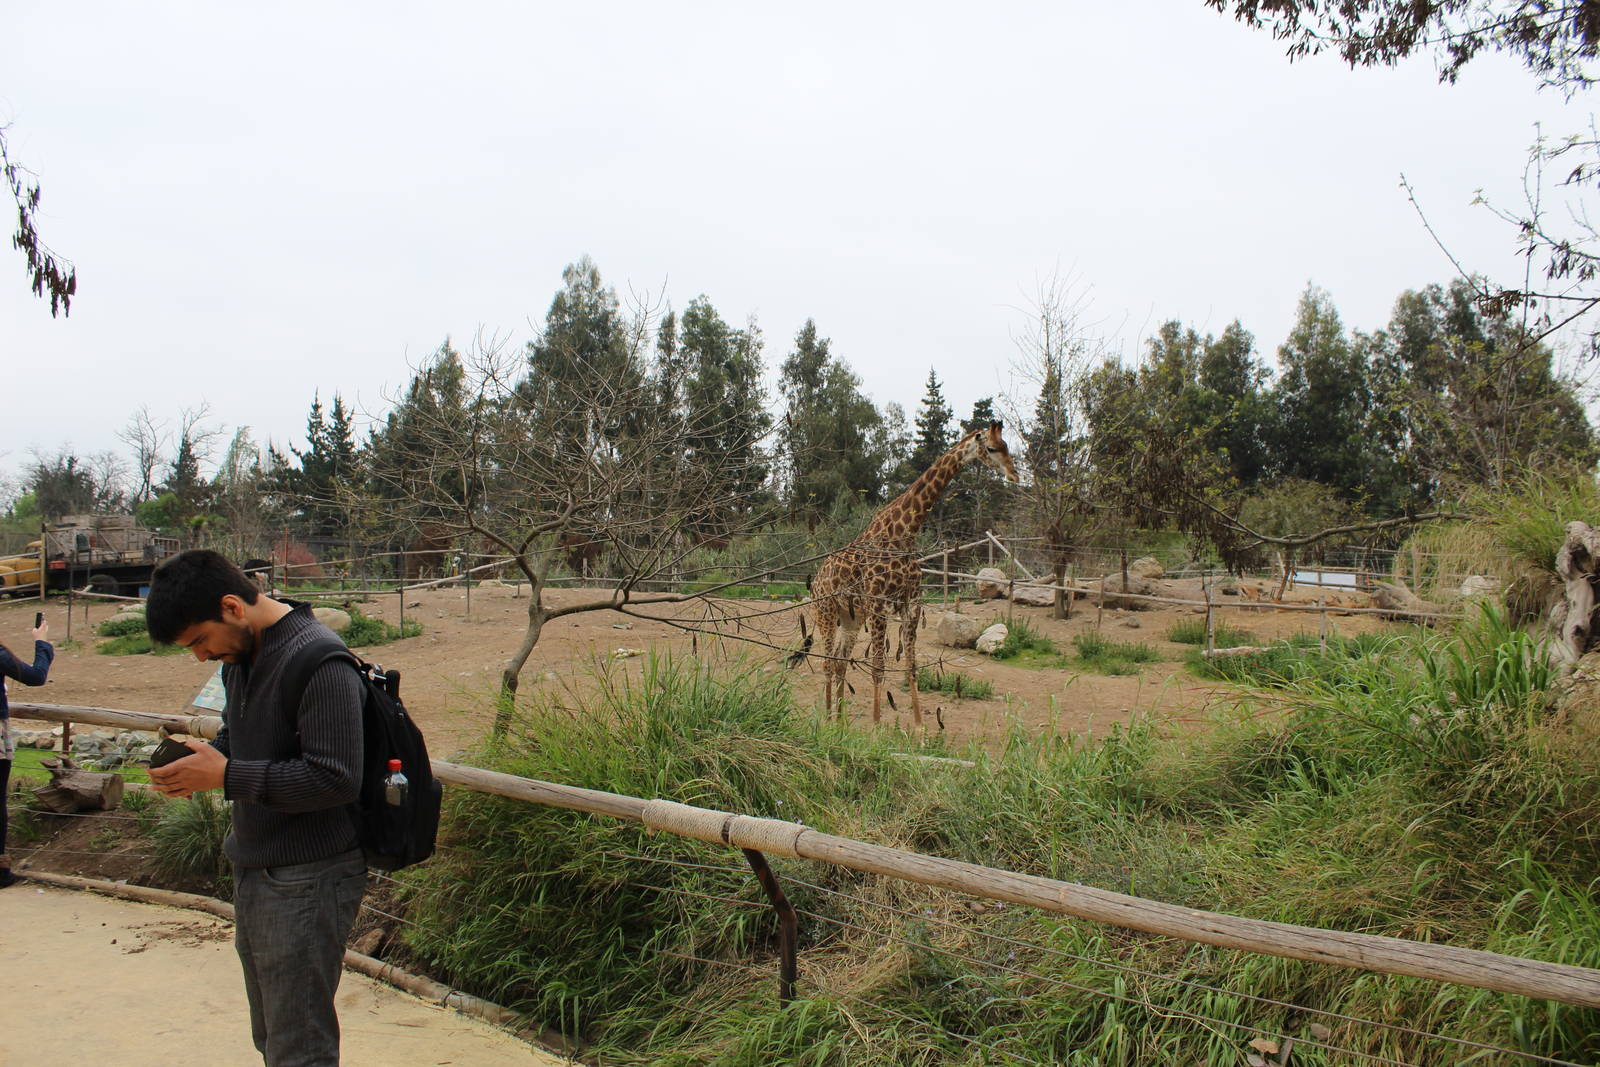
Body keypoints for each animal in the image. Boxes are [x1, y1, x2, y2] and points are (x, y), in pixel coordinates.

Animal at [806, 421, 1019, 726]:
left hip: (851, 617)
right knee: (826, 661)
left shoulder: (911, 604)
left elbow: (911, 666)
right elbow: (878, 667)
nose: (1014, 474)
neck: (905, 534)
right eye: (991, 448)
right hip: (826, 611)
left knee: (839, 661)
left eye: (1006, 446)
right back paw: (826, 719)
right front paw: (876, 727)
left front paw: (919, 730)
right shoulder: (879, 605)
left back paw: (840, 722)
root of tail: (816, 580)